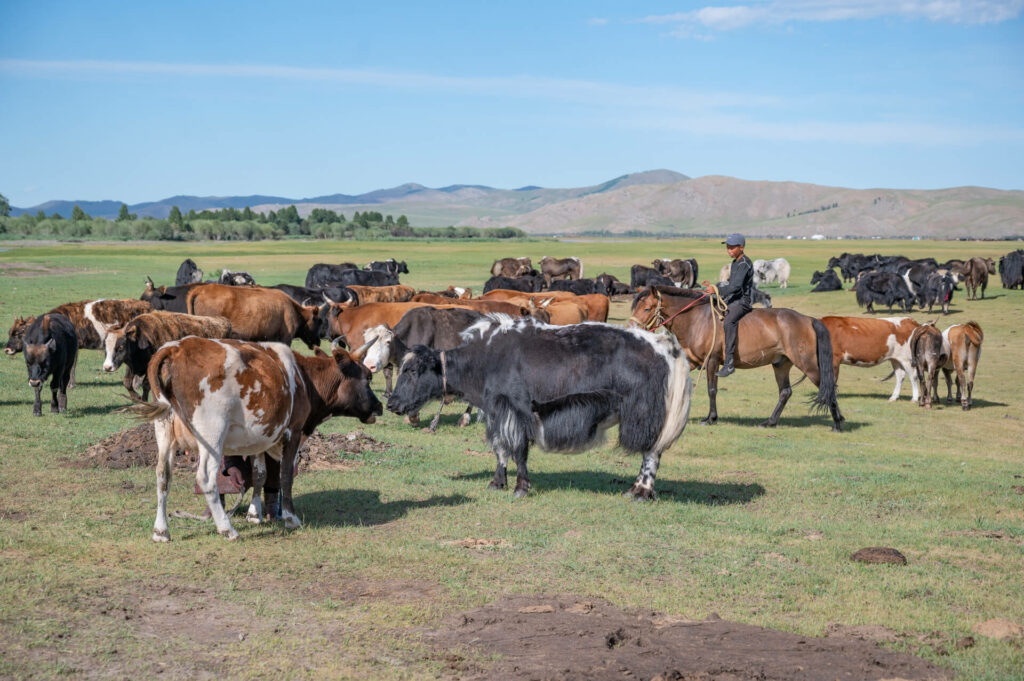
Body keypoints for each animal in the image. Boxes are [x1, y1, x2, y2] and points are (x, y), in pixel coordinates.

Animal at [101, 311, 232, 401]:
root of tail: (223, 321)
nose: (107, 367)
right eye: (105, 347)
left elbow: (147, 384)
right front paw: (137, 398)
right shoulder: (132, 365)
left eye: (120, 347)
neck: (141, 339)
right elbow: (127, 382)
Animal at [128, 335, 382, 540]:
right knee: (207, 478)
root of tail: (176, 348)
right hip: (212, 433)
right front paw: (290, 518)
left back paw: (161, 530)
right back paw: (226, 528)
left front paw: (253, 513)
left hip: (164, 432)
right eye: (367, 377)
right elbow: (285, 476)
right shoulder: (293, 432)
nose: (380, 406)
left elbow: (260, 475)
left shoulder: (259, 439)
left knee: (163, 475)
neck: (305, 378)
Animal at [387, 315, 692, 499]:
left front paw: (521, 488)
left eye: (412, 370)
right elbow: (500, 450)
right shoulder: (497, 414)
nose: (391, 403)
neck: (485, 360)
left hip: (645, 414)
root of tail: (667, 346)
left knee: (651, 452)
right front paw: (497, 483)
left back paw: (639, 491)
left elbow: (518, 451)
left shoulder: (517, 410)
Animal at [626, 286, 843, 430]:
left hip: (808, 365)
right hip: (781, 364)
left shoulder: (712, 361)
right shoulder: (694, 360)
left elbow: (712, 390)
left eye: (646, 309)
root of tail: (808, 319)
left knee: (828, 386)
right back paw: (770, 422)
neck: (696, 319)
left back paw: (838, 422)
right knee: (785, 392)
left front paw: (711, 418)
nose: (631, 328)